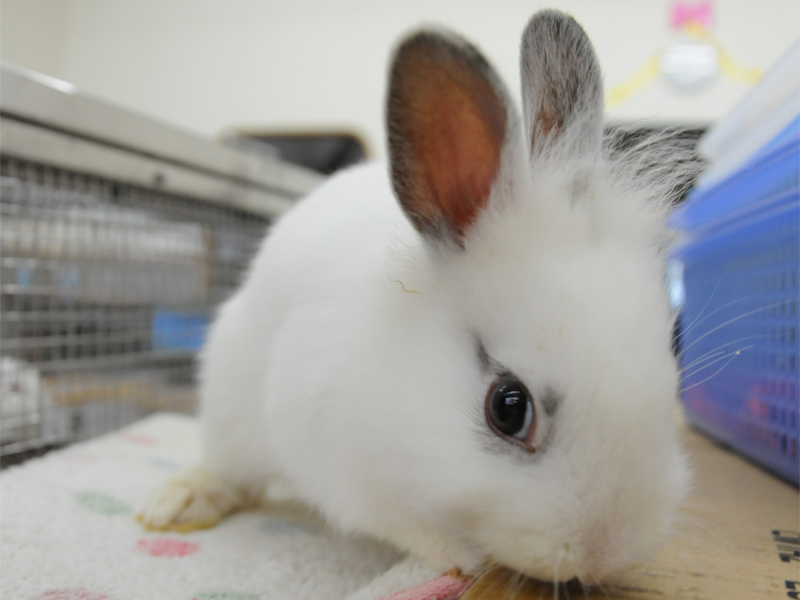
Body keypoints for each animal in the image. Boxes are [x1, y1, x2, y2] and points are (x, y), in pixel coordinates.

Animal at [142, 8, 688, 580]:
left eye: (669, 363)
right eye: (508, 408)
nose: (607, 553)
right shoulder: (343, 465)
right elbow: (402, 523)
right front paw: (459, 557)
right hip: (229, 401)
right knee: (226, 465)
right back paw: (178, 502)